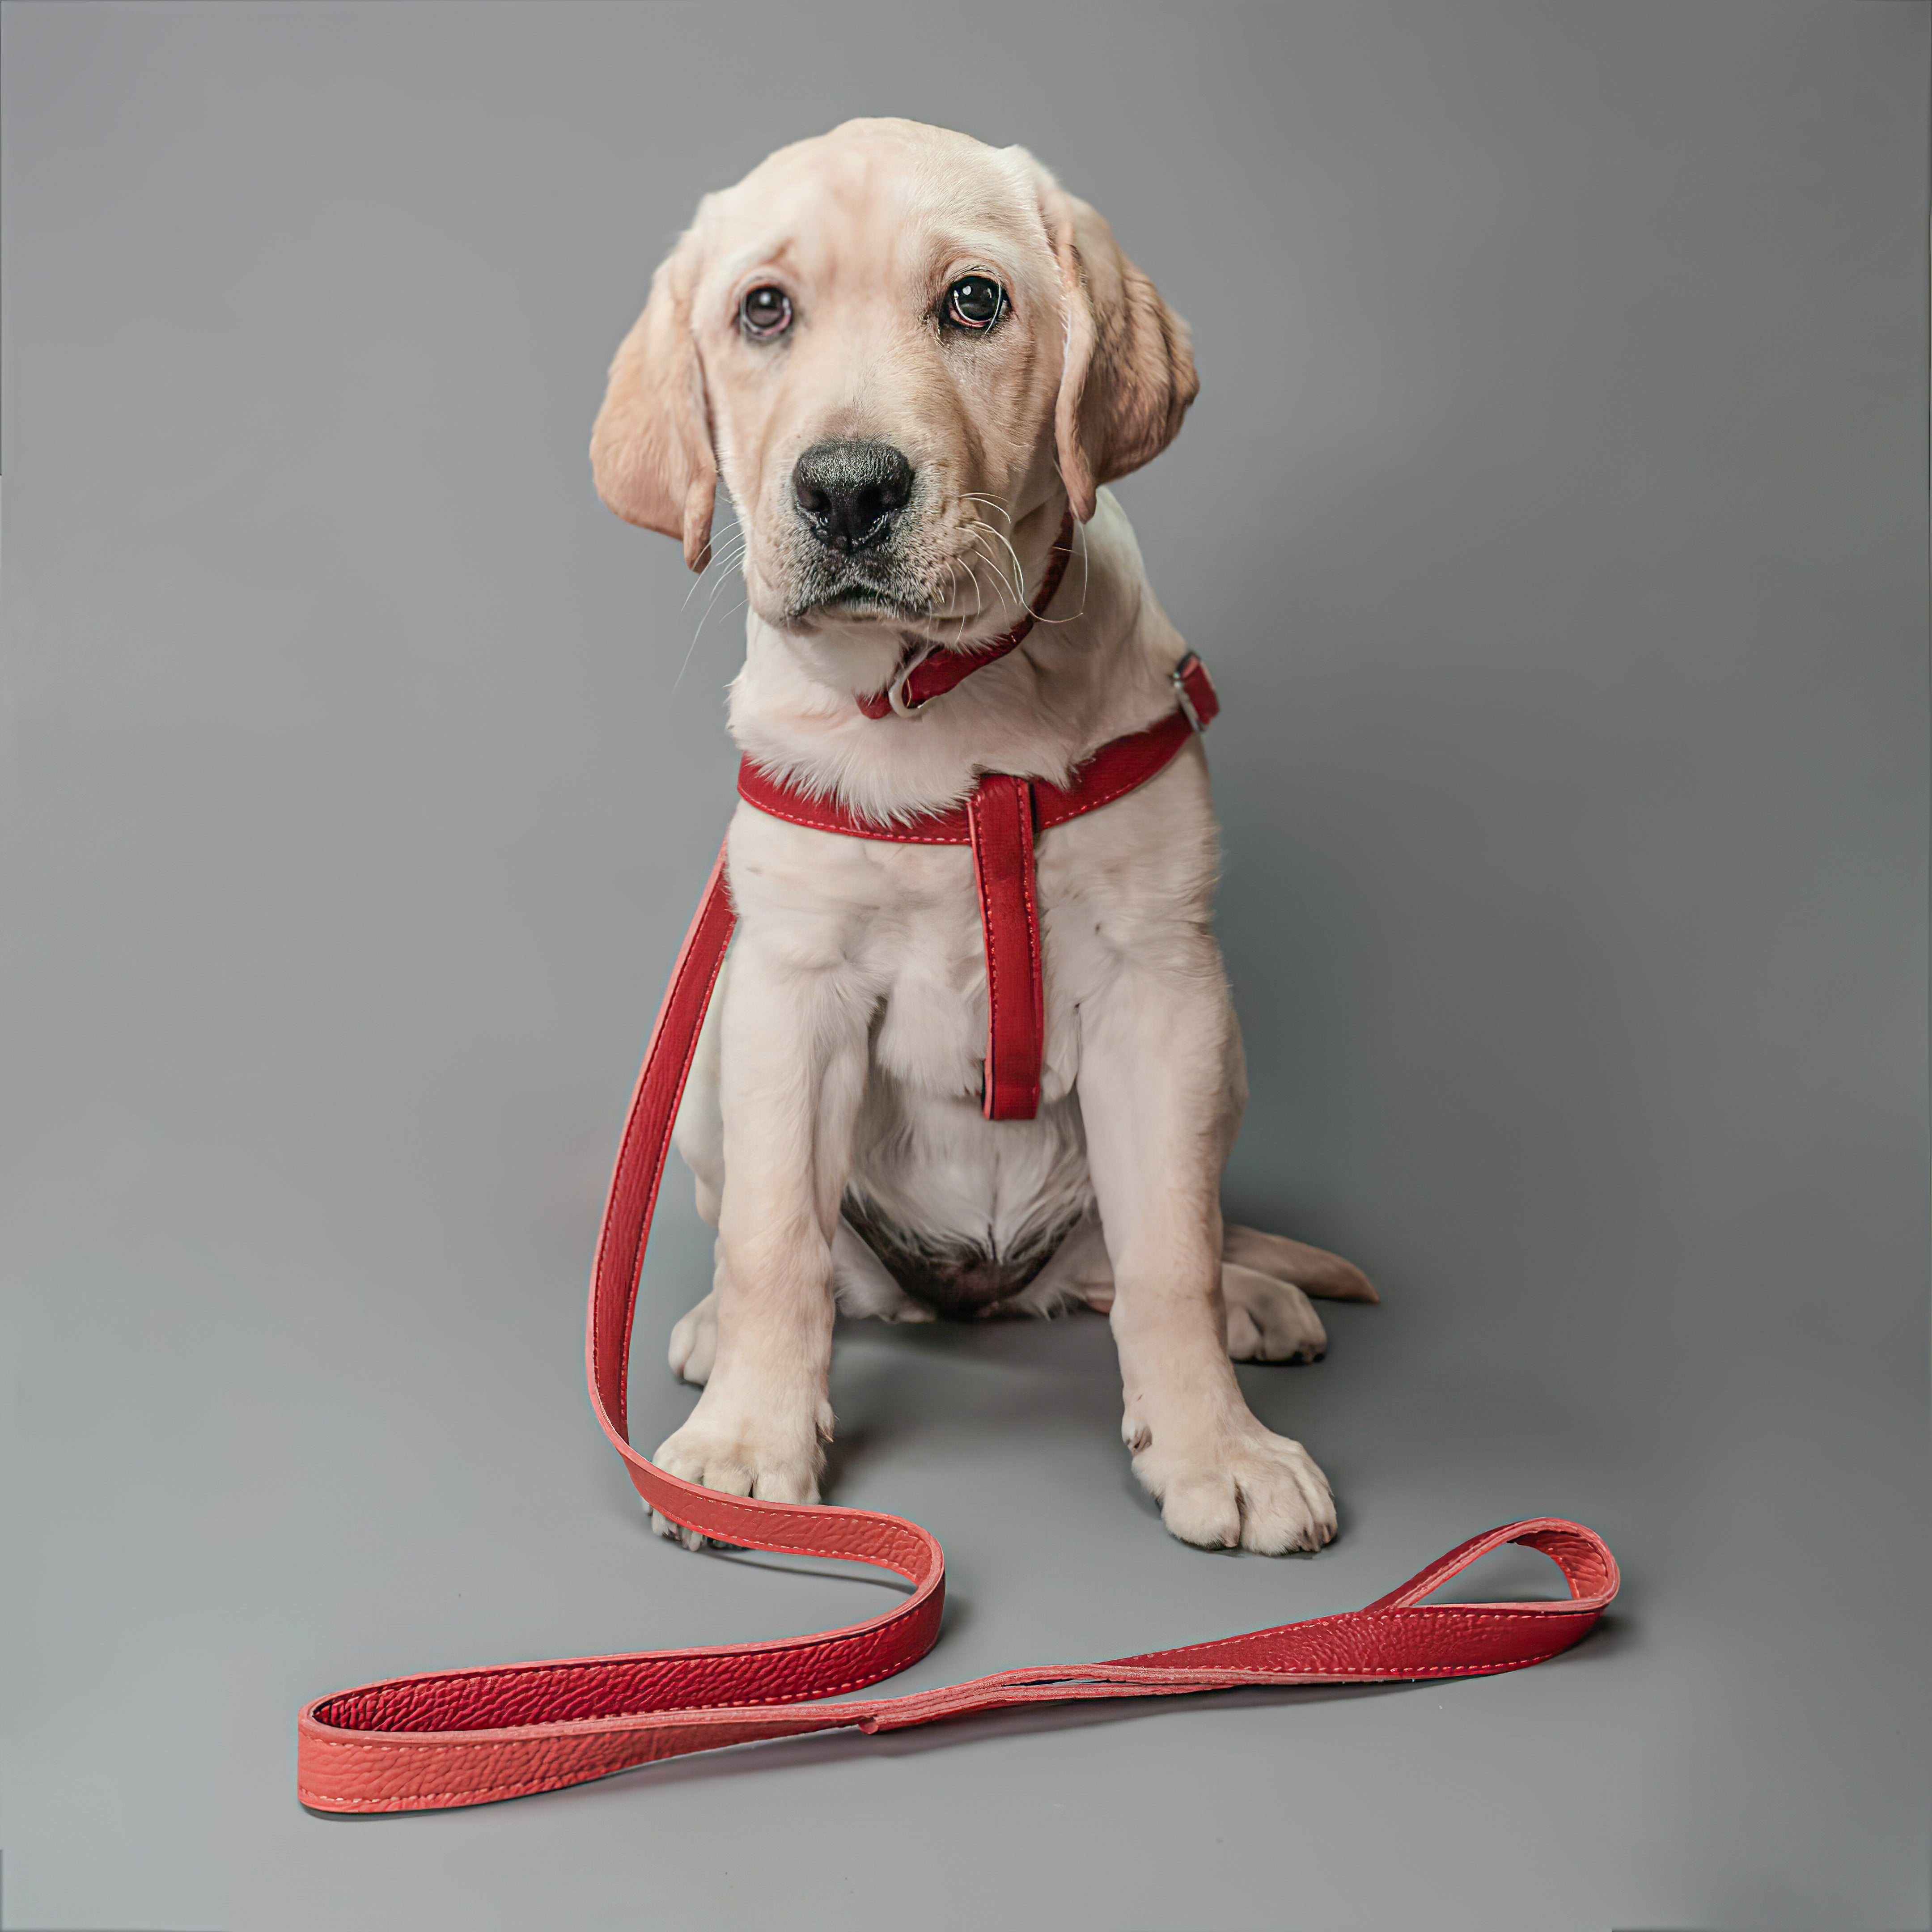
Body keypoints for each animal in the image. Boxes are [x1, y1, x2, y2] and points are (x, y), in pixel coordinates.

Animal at [587, 117, 1375, 1553]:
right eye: (763, 310)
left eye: (974, 302)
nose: (848, 491)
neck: (945, 702)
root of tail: (978, 1287)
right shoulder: (791, 986)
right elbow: (777, 1241)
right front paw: (745, 1446)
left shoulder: (1160, 992)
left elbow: (1172, 1252)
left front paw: (1218, 1448)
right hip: (714, 1060)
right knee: (788, 1249)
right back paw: (715, 1332)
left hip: (1219, 1058)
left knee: (1136, 1254)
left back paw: (1252, 1300)